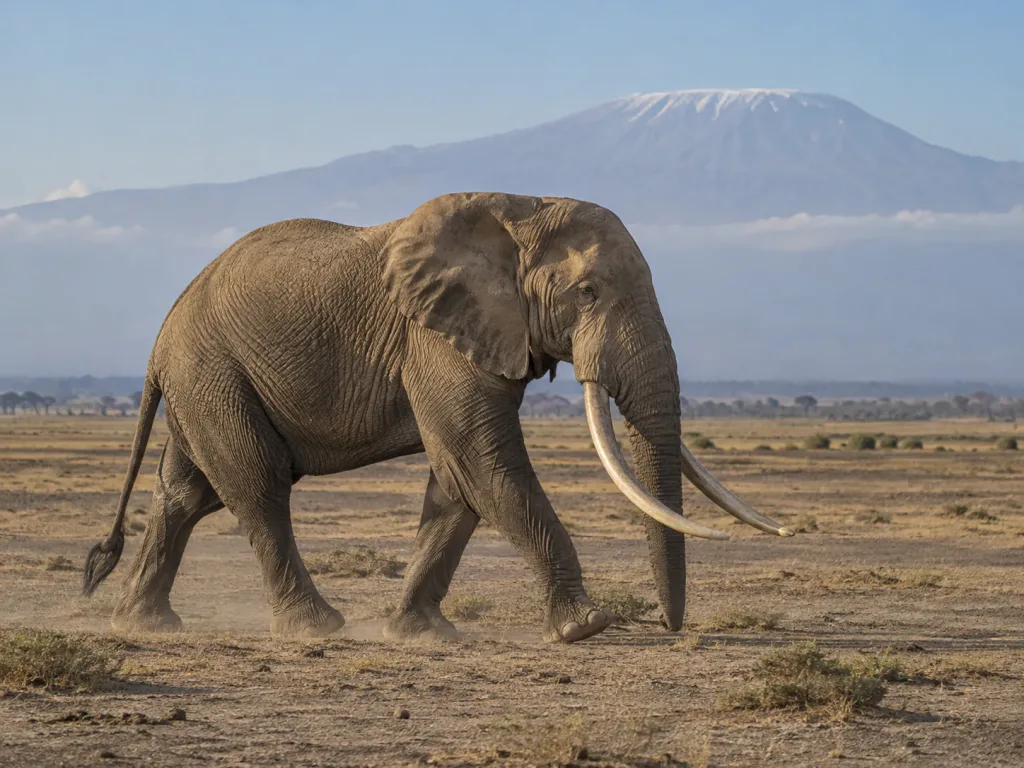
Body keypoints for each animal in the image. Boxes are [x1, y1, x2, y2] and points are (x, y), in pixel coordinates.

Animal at [83, 191, 792, 644]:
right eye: (587, 293)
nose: (670, 627)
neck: (520, 211)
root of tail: (161, 338)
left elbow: (458, 479)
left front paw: (421, 634)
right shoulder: (434, 336)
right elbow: (483, 461)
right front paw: (587, 627)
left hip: (207, 382)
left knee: (186, 493)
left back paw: (142, 624)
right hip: (213, 371)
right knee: (258, 487)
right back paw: (315, 626)